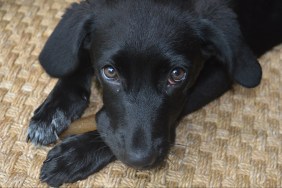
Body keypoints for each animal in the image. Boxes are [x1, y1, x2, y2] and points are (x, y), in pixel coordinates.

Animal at [27, 0, 282, 186]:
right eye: (110, 72)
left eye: (177, 74)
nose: (140, 159)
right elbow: (74, 56)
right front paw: (51, 112)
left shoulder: (222, 74)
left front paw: (76, 154)